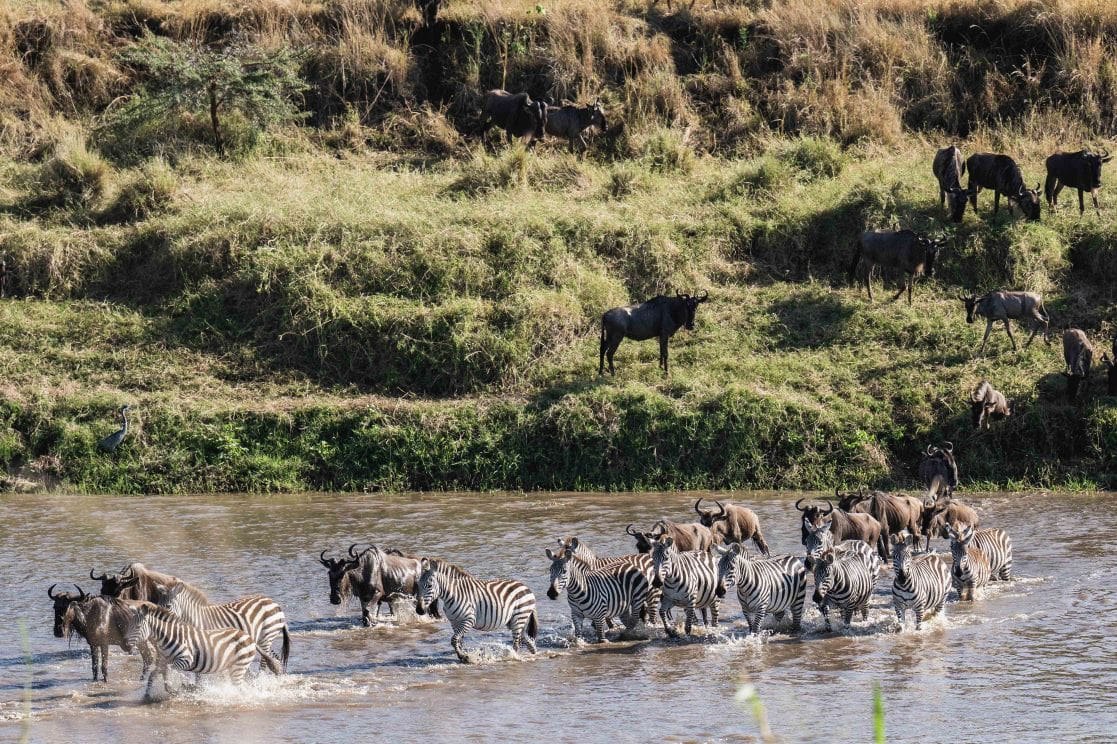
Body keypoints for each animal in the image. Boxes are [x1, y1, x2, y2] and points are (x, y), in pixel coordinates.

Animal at [127, 602, 257, 698]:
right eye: (129, 626)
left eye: (138, 627)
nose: (127, 646)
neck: (169, 636)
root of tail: (248, 636)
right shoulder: (163, 661)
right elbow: (153, 675)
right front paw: (148, 694)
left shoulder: (186, 659)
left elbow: (169, 670)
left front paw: (175, 686)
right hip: (234, 667)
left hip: (238, 667)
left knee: (241, 687)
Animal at [155, 580, 290, 674]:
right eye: (158, 604)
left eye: (168, 606)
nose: (159, 622)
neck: (197, 619)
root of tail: (274, 603)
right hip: (264, 639)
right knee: (275, 659)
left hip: (266, 636)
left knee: (264, 662)